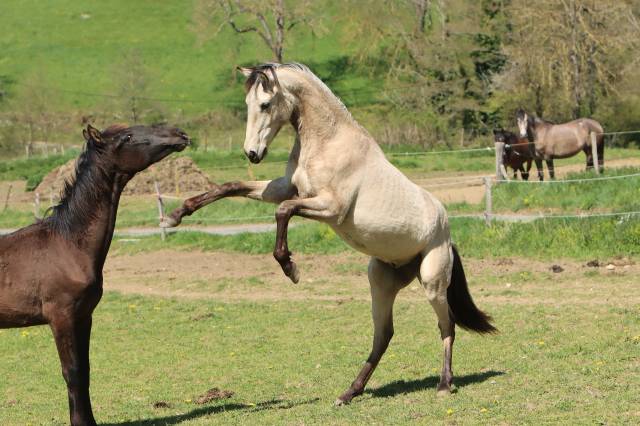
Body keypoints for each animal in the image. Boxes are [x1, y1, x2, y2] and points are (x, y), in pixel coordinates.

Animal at [0, 124, 189, 426]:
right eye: (127, 137)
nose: (180, 134)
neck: (68, 245)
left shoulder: (83, 316)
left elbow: (85, 371)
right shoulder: (61, 317)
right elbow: (72, 372)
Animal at [162, 62, 496, 405]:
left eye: (265, 105)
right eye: (247, 105)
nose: (252, 153)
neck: (328, 143)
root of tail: (447, 233)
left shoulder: (330, 208)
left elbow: (283, 211)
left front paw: (291, 268)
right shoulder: (285, 189)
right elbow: (232, 187)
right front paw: (175, 216)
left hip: (432, 282)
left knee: (447, 325)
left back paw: (444, 384)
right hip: (381, 282)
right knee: (383, 335)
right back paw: (349, 392)